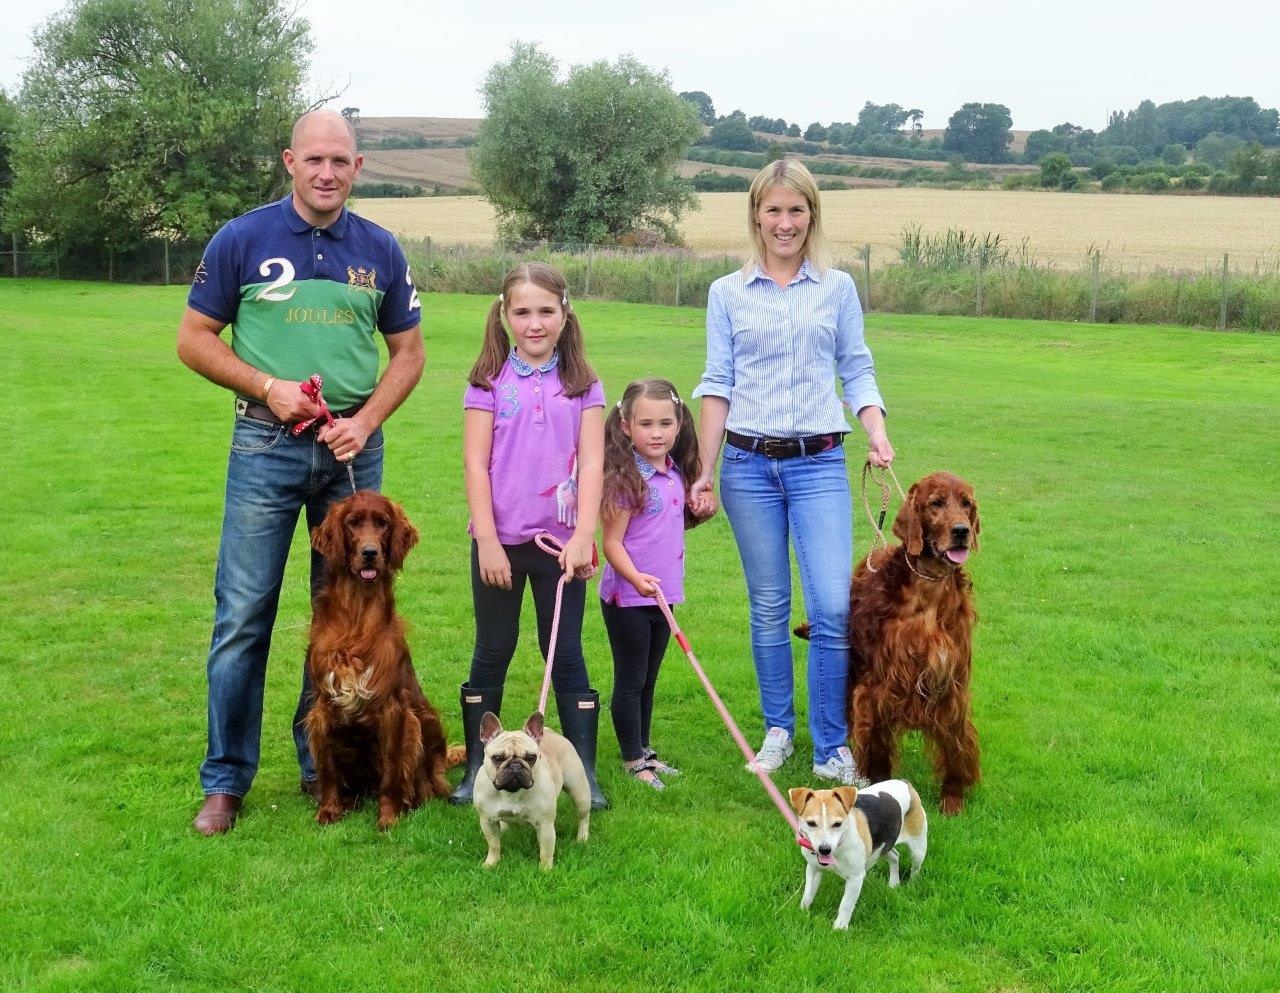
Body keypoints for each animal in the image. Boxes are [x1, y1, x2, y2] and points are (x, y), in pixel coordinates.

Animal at [303, 491, 463, 829]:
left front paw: (388, 818)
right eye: (352, 523)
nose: (369, 553)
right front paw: (329, 810)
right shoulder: (323, 709)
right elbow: (328, 771)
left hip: (421, 722)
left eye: (383, 523)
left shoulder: (392, 710)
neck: (357, 611)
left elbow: (391, 773)